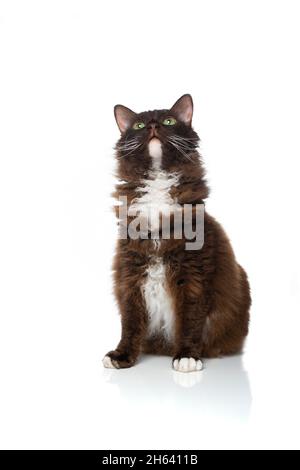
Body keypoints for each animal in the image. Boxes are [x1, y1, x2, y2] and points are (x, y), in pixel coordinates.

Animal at [103, 93, 251, 372]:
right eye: (139, 125)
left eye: (169, 121)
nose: (152, 126)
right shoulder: (130, 273)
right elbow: (130, 321)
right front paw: (122, 355)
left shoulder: (193, 275)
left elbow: (190, 320)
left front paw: (187, 357)